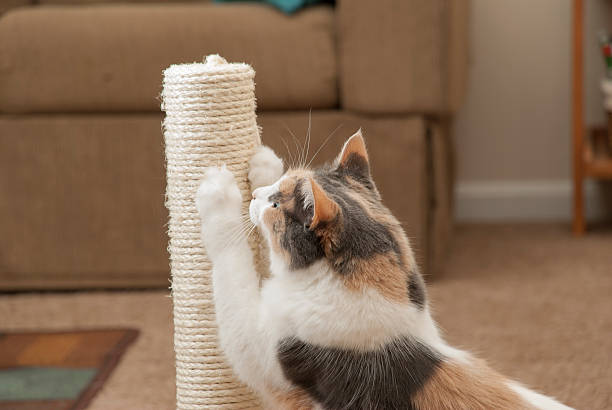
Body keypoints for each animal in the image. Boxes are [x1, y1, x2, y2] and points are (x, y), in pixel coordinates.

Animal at [197, 131, 572, 410]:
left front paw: (218, 194)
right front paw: (264, 163)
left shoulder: (259, 350)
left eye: (276, 205)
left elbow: (232, 262)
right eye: (279, 188)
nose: (257, 196)